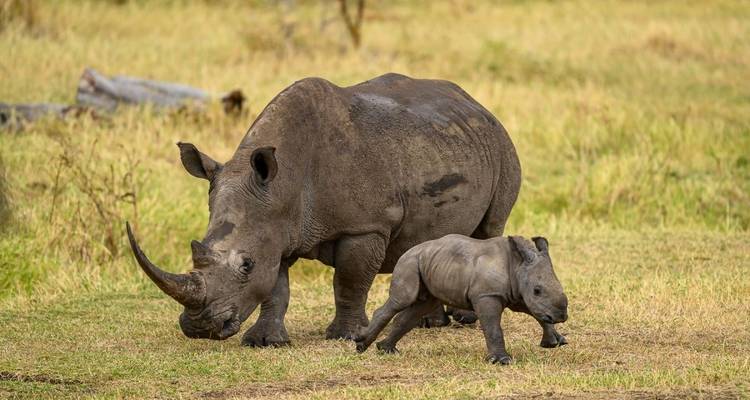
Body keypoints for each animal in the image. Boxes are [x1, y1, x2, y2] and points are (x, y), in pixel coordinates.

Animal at [126, 73, 522, 345]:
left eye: (245, 264)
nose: (200, 328)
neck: (282, 185)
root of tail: (476, 103)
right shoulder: (276, 228)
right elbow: (276, 287)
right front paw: (265, 342)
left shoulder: (366, 225)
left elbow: (349, 281)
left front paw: (346, 336)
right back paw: (429, 323)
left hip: (502, 149)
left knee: (489, 229)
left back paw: (464, 319)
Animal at [354, 235, 569, 364]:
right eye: (537, 290)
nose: (561, 316)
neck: (517, 264)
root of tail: (407, 251)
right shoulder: (487, 295)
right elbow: (493, 328)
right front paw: (502, 361)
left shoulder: (518, 294)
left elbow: (539, 314)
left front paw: (555, 343)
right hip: (409, 262)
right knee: (403, 300)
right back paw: (361, 345)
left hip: (429, 264)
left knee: (420, 307)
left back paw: (386, 350)